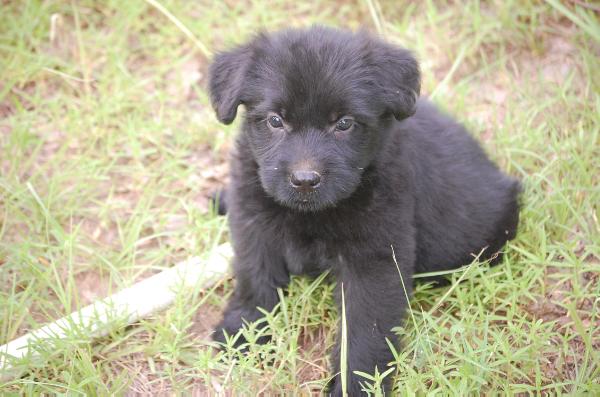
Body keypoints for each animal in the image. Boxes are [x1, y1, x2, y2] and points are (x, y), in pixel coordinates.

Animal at [207, 27, 520, 392]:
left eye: (344, 124)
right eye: (275, 120)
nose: (304, 180)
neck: (312, 213)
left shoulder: (374, 260)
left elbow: (363, 331)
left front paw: (355, 385)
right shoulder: (254, 226)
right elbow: (254, 280)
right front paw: (242, 334)